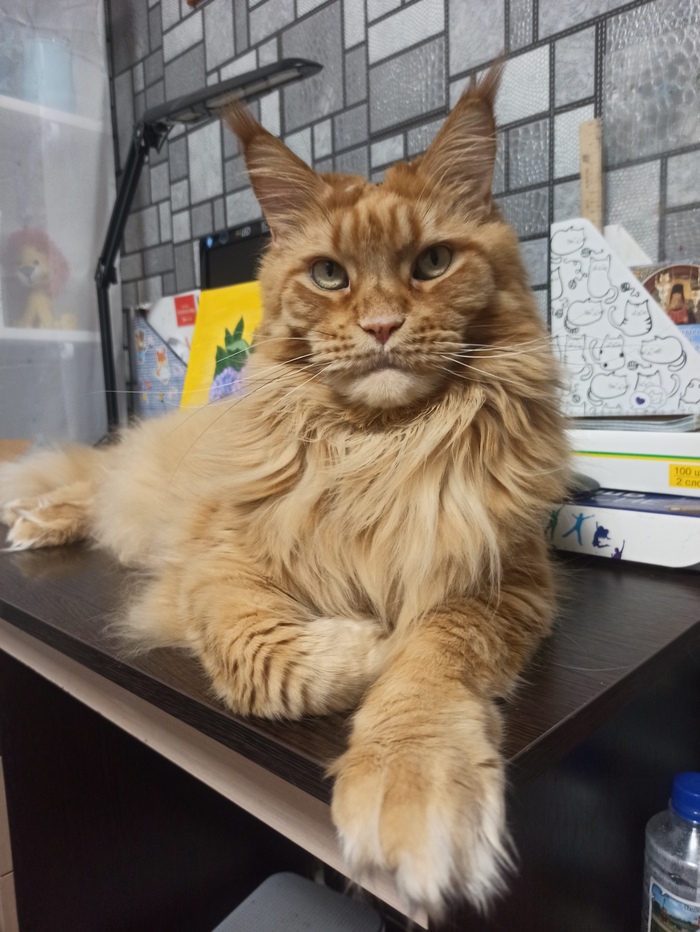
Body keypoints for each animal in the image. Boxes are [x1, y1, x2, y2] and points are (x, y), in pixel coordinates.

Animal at [0, 69, 570, 921]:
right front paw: (368, 645)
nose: (381, 325)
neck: (378, 450)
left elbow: (432, 662)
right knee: (80, 485)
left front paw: (412, 775)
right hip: (126, 491)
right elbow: (264, 662)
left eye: (433, 263)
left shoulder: (503, 580)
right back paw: (30, 520)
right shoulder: (220, 565)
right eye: (330, 275)